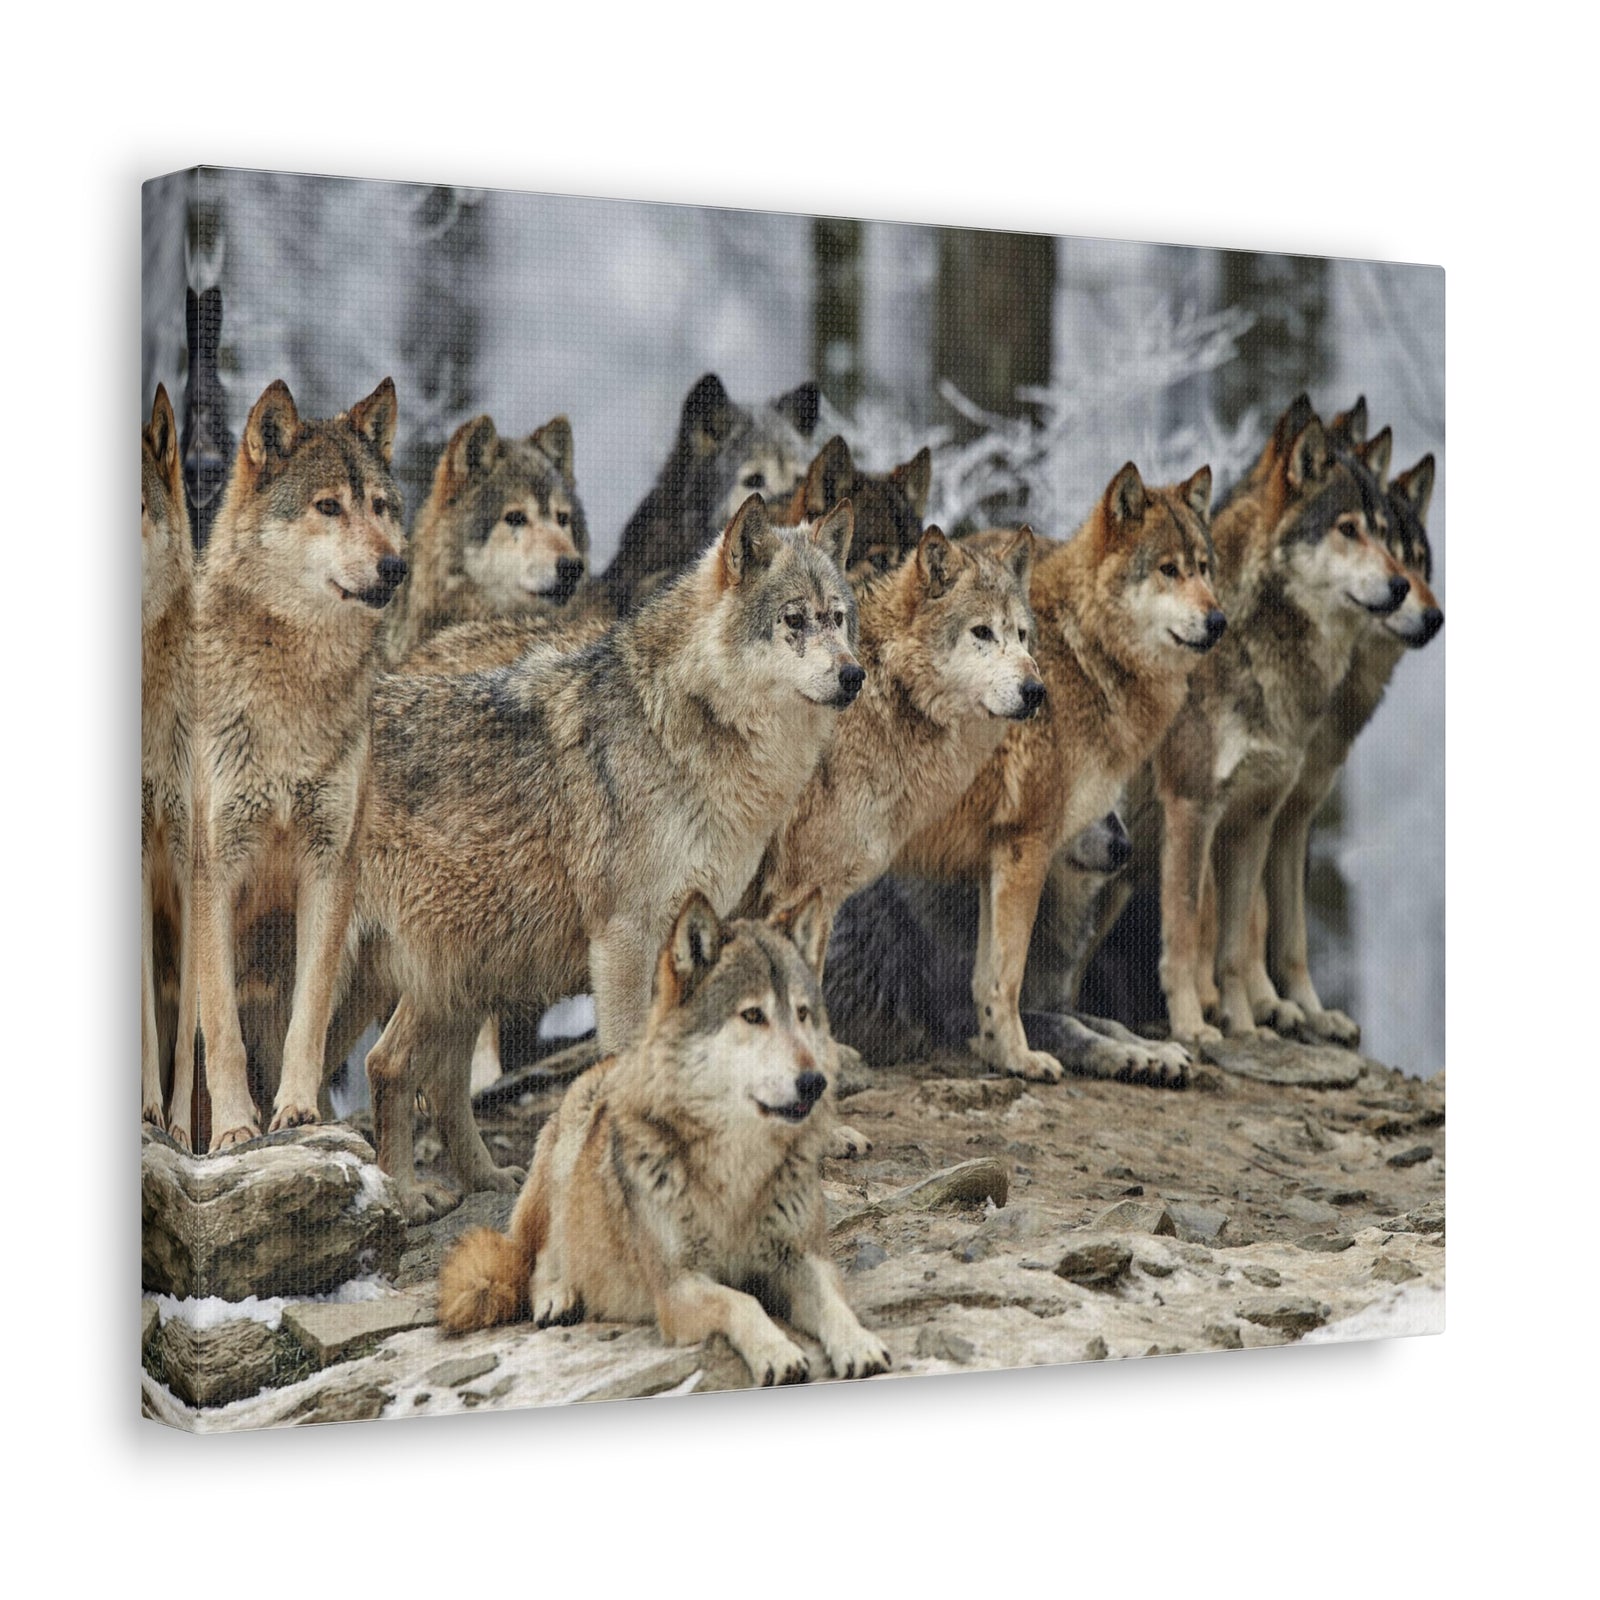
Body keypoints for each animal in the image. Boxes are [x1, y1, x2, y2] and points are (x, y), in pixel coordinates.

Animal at [190, 377, 408, 1149]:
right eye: (328, 507)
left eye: (381, 507)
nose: (396, 565)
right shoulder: (214, 870)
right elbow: (220, 1029)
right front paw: (233, 1131)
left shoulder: (329, 866)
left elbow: (305, 1019)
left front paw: (296, 1112)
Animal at [350, 496, 861, 1219]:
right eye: (794, 620)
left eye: (838, 618)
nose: (854, 674)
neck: (688, 725)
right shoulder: (623, 939)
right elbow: (623, 1053)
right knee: (387, 1066)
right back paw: (404, 1194)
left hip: (467, 965)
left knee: (426, 1076)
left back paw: (483, 1180)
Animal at [438, 892, 892, 1385]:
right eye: (753, 1015)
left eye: (803, 1014)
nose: (814, 1083)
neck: (737, 1169)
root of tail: (606, 1063)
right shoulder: (677, 1288)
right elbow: (744, 1302)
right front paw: (777, 1353)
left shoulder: (802, 1258)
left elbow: (833, 1304)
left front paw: (859, 1344)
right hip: (563, 1159)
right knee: (536, 1259)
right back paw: (558, 1296)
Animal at [893, 462, 1222, 1082]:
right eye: (1168, 570)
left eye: (1204, 568)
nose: (1219, 620)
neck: (1084, 652)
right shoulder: (1028, 844)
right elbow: (1011, 978)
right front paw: (1020, 1058)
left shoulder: (998, 854)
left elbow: (998, 981)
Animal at [1155, 397, 1410, 1044]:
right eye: (1348, 529)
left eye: (1387, 535)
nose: (1402, 587)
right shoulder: (1193, 807)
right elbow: (1189, 931)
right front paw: (1192, 1025)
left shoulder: (1264, 816)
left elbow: (1246, 941)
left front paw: (1249, 1027)